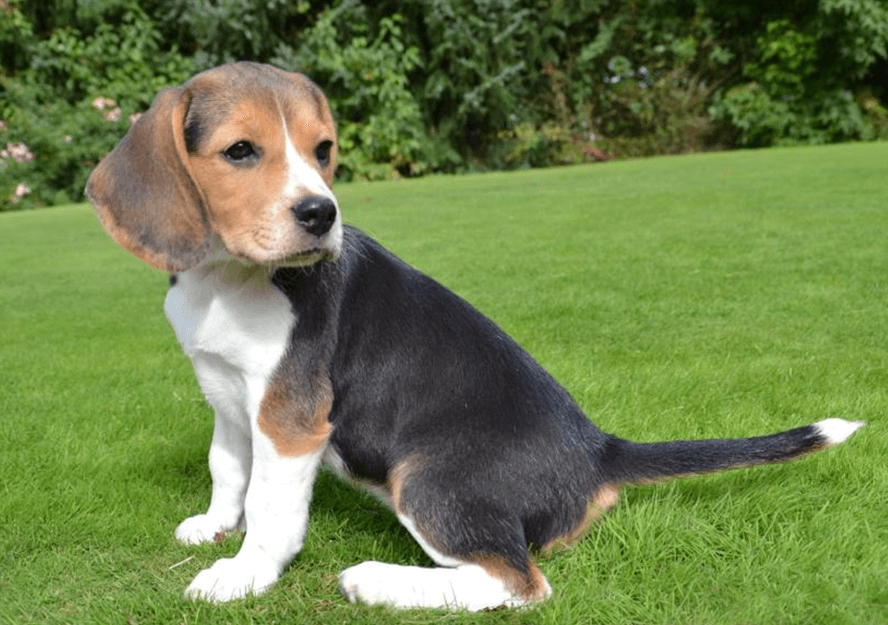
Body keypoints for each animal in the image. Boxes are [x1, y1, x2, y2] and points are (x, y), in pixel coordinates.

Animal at [86, 63, 864, 608]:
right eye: (241, 151)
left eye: (322, 148)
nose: (321, 214)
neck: (227, 276)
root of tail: (600, 451)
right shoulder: (228, 395)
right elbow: (228, 468)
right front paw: (214, 525)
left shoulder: (290, 416)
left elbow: (272, 509)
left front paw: (242, 573)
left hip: (428, 475)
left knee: (518, 583)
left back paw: (378, 581)